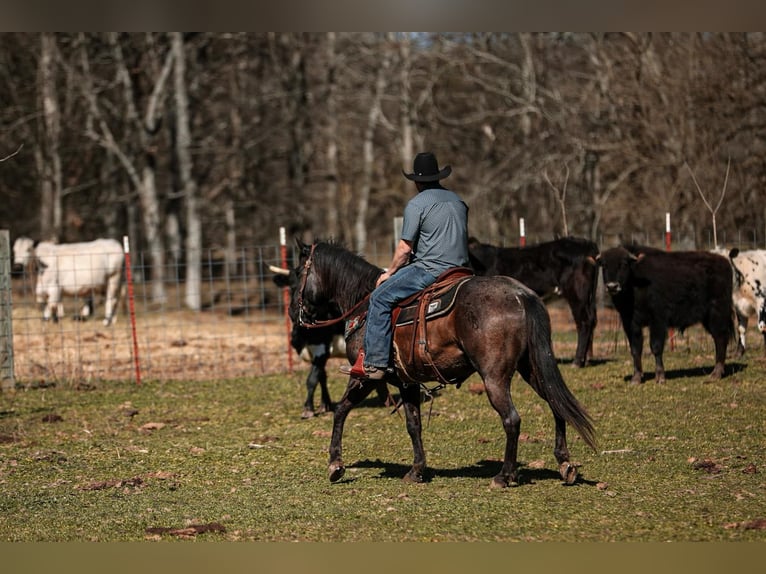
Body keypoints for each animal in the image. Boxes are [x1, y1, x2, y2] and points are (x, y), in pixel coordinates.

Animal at [472, 237, 604, 368]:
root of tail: (587, 244)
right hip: (588, 297)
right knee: (592, 319)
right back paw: (587, 359)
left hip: (577, 293)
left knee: (584, 322)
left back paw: (577, 361)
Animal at [600, 245, 736, 384]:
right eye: (604, 265)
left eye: (623, 264)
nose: (612, 286)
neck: (636, 282)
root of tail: (724, 262)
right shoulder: (630, 324)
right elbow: (635, 349)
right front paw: (636, 378)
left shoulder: (657, 321)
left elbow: (656, 347)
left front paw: (660, 377)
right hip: (708, 318)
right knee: (719, 338)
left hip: (717, 314)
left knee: (720, 338)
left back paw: (716, 373)